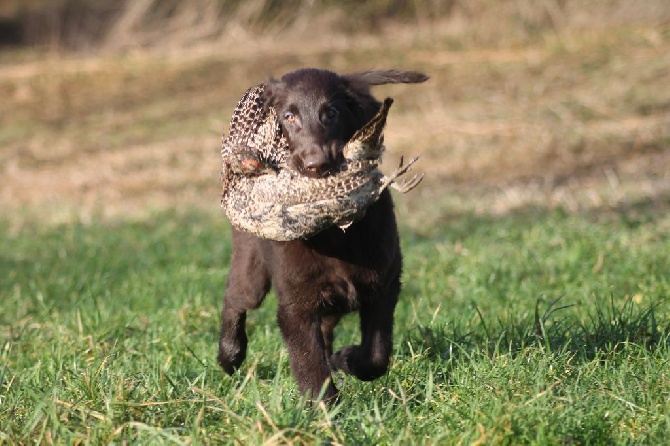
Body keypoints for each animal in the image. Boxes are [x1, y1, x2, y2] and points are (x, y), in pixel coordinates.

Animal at [220, 67, 430, 400]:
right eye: (288, 116)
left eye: (331, 113)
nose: (315, 165)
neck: (334, 235)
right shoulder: (296, 305)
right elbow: (310, 365)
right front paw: (326, 410)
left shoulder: (384, 284)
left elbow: (376, 355)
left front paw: (346, 359)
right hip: (250, 264)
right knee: (235, 298)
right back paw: (229, 355)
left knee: (327, 329)